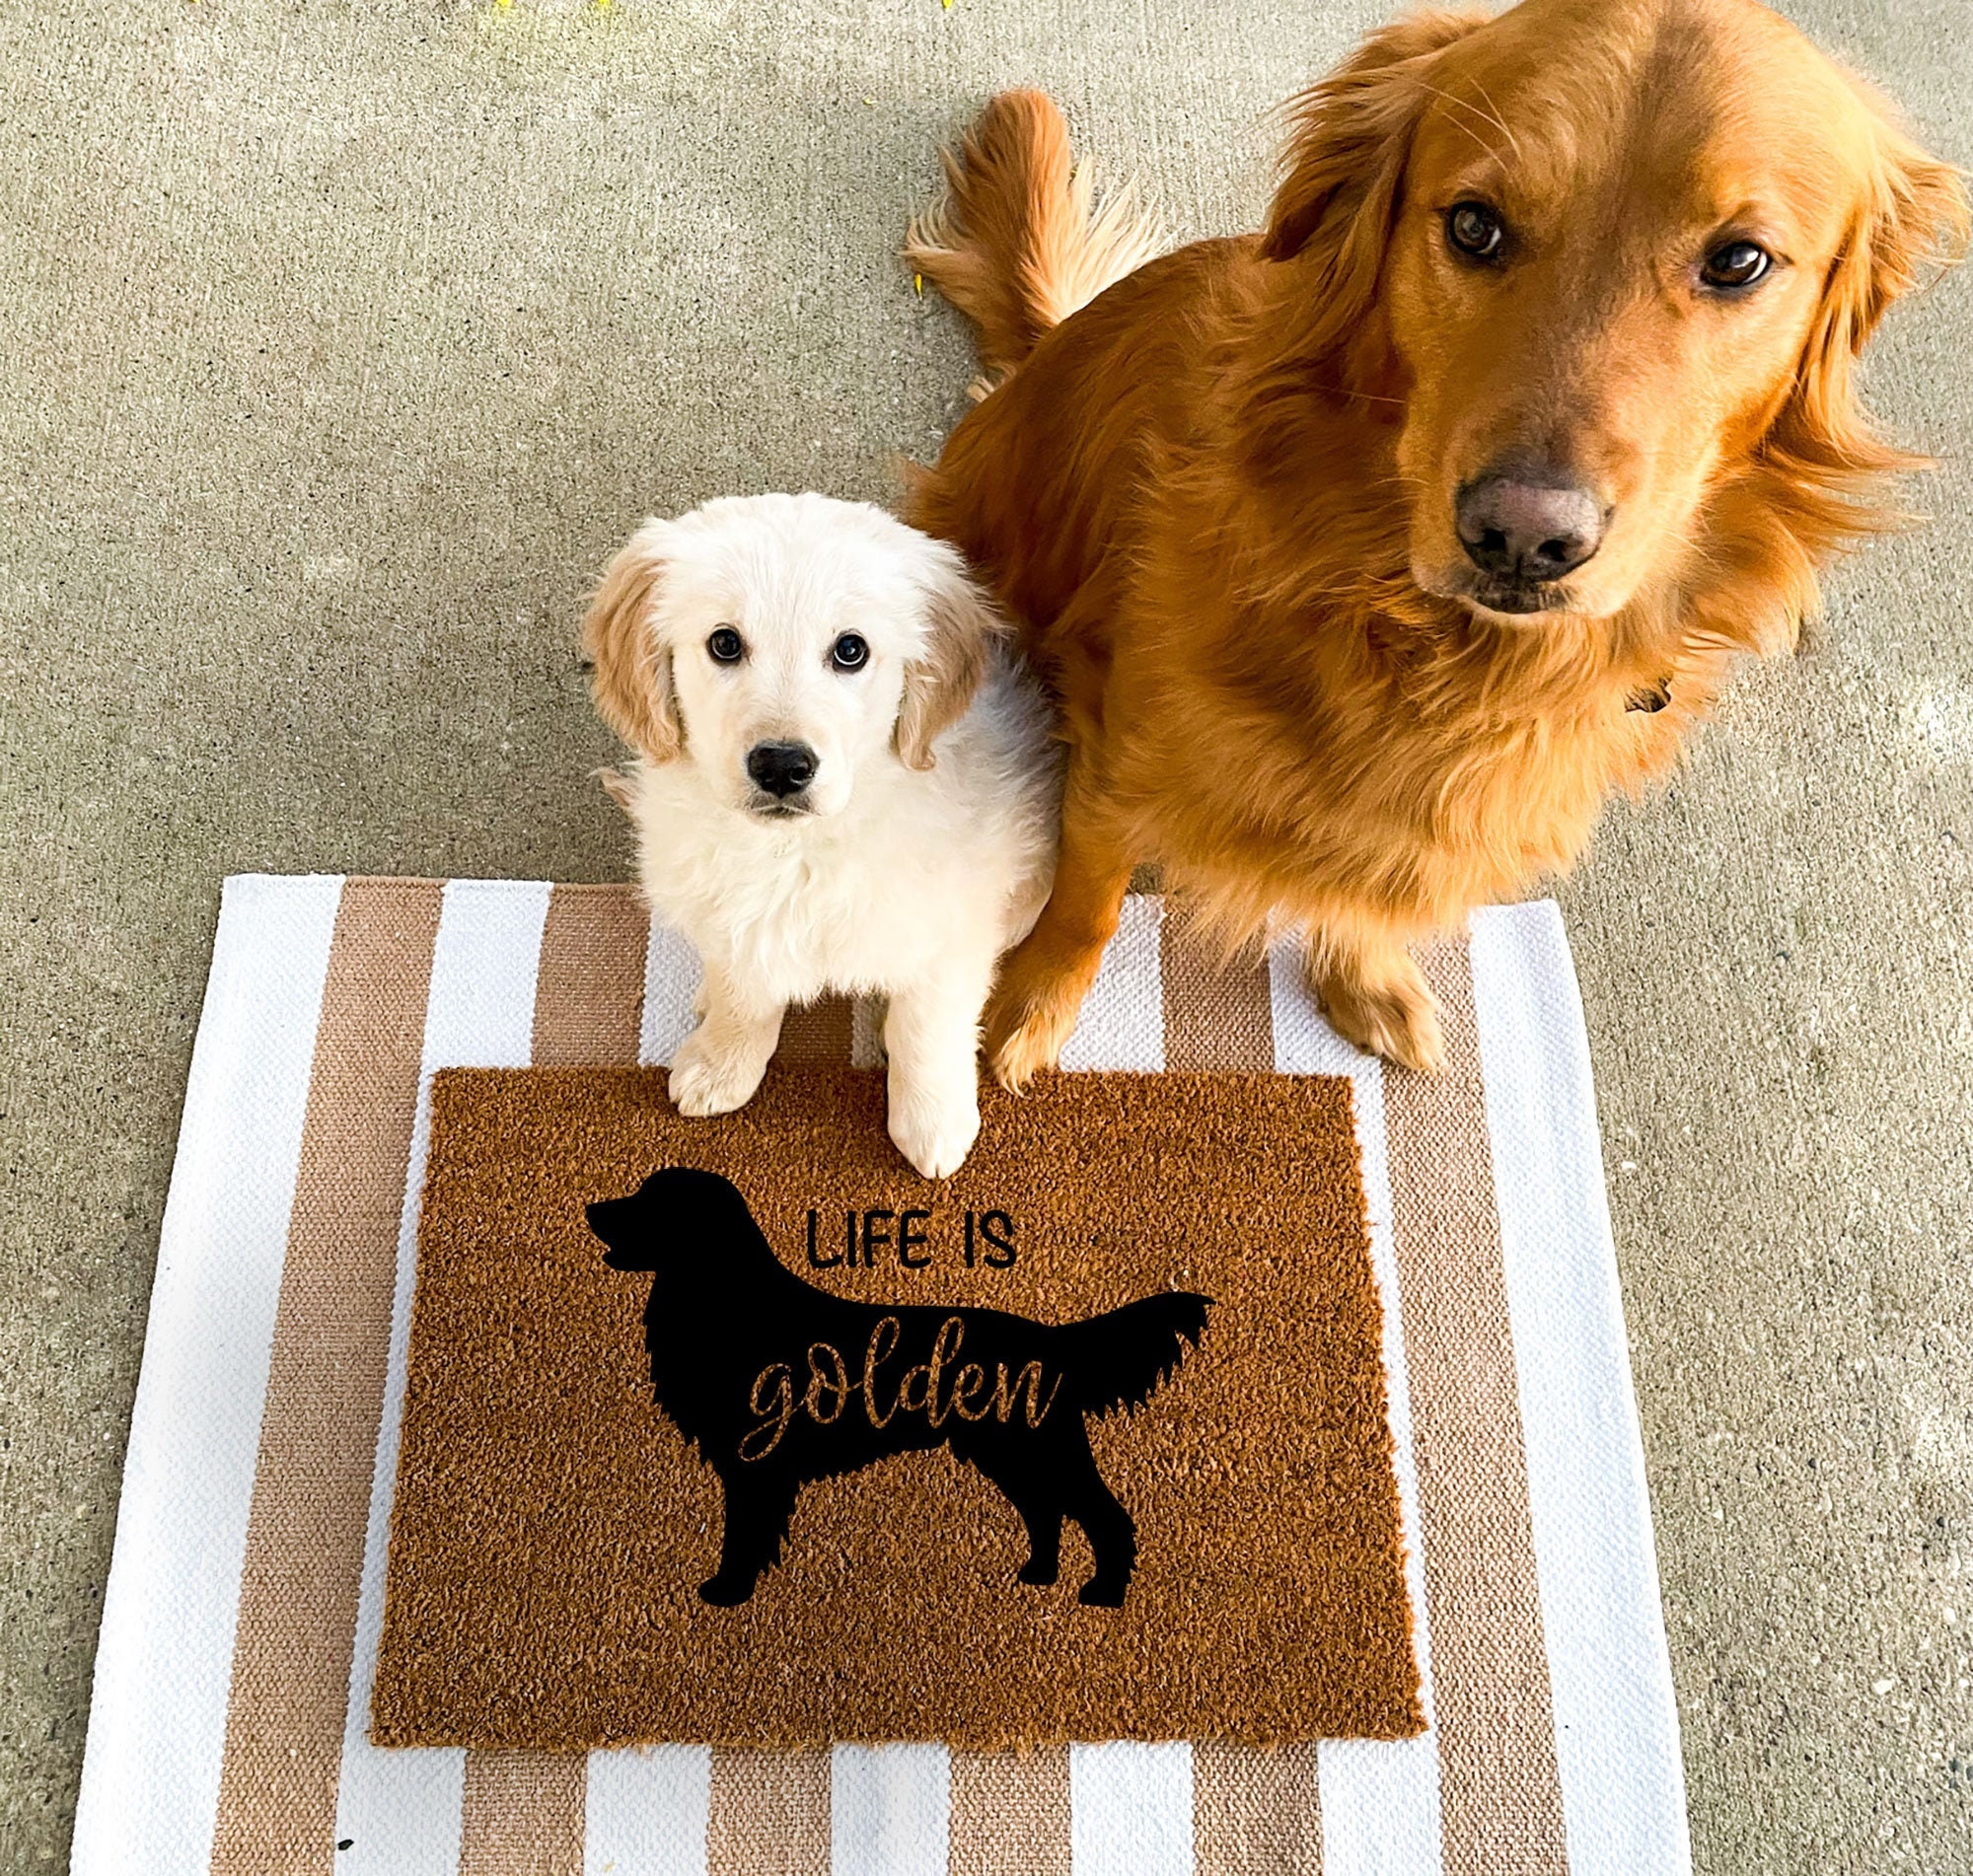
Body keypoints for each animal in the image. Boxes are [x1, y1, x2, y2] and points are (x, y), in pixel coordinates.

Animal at [580, 495, 1058, 1176]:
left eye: (851, 650)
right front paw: (722, 1065)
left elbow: (927, 1025)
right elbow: (743, 996)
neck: (799, 851)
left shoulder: (951, 926)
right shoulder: (734, 920)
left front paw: (932, 1121)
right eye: (724, 643)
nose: (782, 765)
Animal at [904, 0, 1965, 1081]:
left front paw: (1361, 976)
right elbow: (1087, 899)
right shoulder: (1122, 743)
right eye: (1473, 225)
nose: (1521, 538)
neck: (1432, 653)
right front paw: (1029, 1006)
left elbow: (1372, 889)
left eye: (1739, 261)